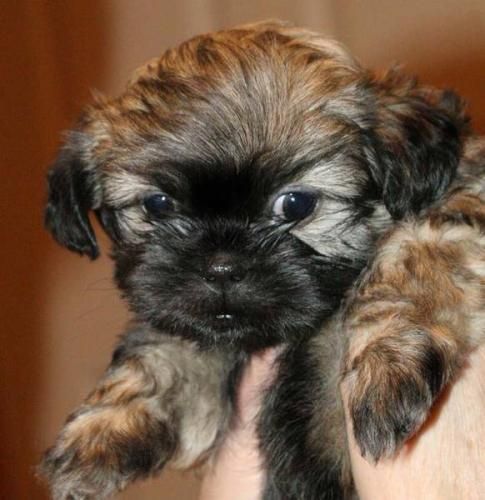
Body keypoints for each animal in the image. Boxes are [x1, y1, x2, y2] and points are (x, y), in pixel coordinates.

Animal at [39, 21, 474, 498]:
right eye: (158, 205)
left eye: (296, 205)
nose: (221, 266)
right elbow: (168, 351)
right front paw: (103, 431)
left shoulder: (456, 206)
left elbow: (410, 257)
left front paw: (387, 367)